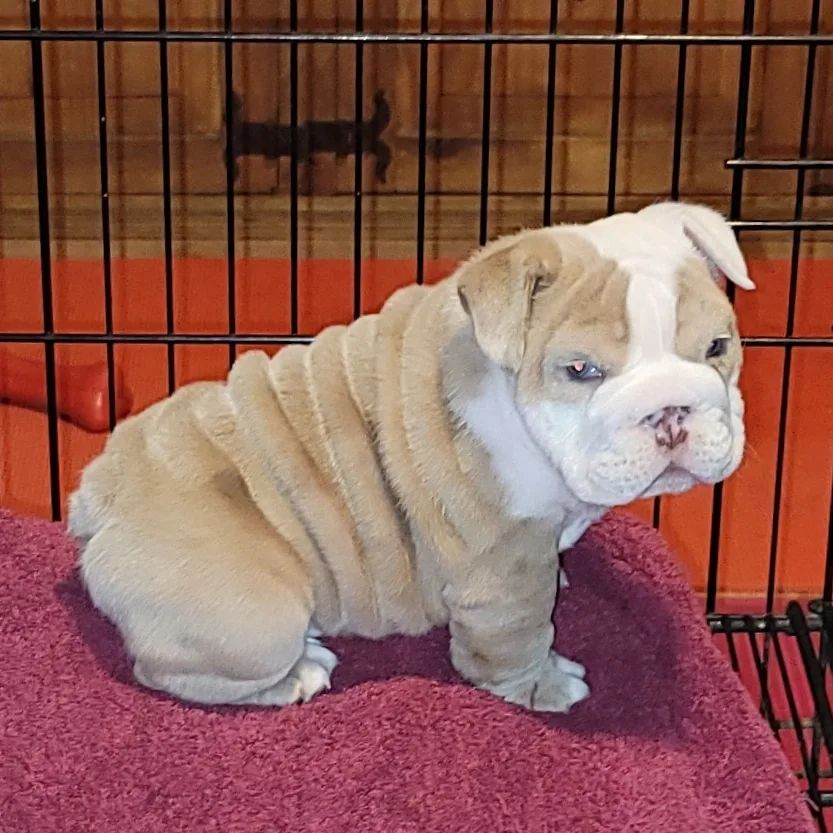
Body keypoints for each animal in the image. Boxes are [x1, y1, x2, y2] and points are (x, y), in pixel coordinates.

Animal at [68, 205, 752, 712]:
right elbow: (516, 639)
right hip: (254, 620)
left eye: (719, 347)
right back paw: (297, 674)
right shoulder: (503, 567)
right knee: (171, 671)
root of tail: (102, 493)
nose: (670, 411)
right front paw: (544, 685)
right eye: (580, 371)